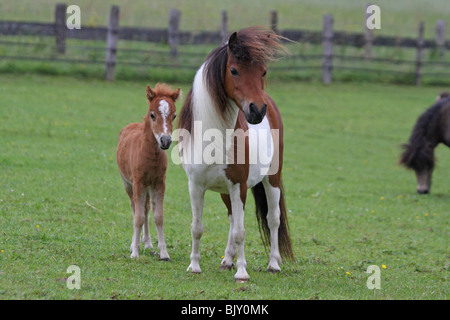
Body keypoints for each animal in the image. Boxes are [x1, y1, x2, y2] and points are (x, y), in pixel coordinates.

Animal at [118, 83, 181, 260]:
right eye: (152, 115)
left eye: (174, 116)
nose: (165, 141)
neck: (150, 155)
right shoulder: (138, 182)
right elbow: (138, 217)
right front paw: (134, 253)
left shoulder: (159, 183)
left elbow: (158, 217)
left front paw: (164, 253)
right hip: (128, 184)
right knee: (135, 208)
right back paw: (135, 244)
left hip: (147, 187)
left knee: (146, 209)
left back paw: (147, 243)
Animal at [176, 27, 296, 282]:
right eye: (234, 70)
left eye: (263, 71)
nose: (257, 110)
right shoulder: (196, 186)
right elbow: (197, 227)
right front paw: (194, 266)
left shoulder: (238, 186)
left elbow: (241, 232)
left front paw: (242, 272)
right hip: (225, 192)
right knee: (232, 218)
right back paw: (227, 260)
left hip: (271, 180)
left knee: (273, 219)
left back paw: (273, 263)